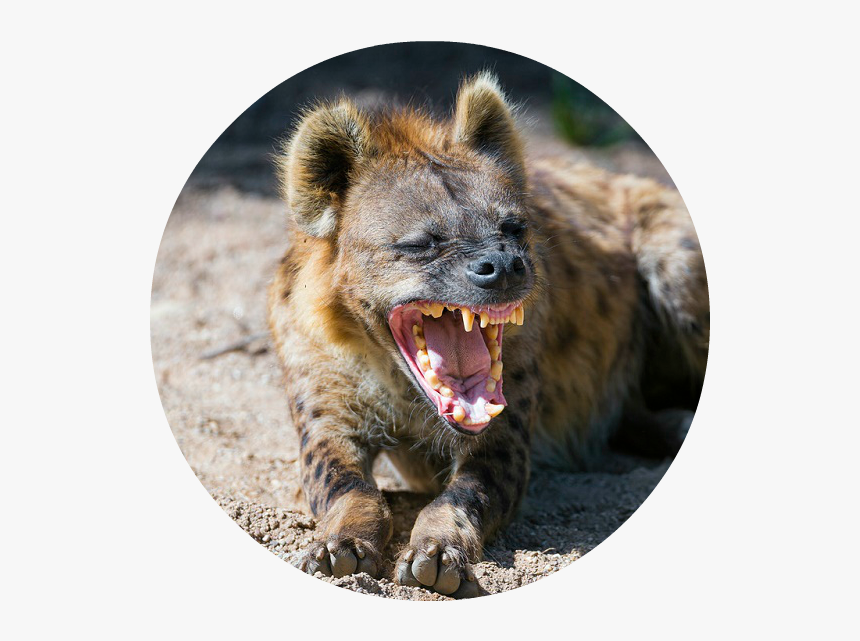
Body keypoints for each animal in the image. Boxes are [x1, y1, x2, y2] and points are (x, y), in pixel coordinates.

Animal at [267, 72, 709, 598]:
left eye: (514, 227)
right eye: (421, 243)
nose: (503, 265)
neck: (395, 384)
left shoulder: (508, 414)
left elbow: (468, 491)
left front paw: (438, 554)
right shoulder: (319, 390)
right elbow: (339, 481)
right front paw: (340, 547)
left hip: (674, 260)